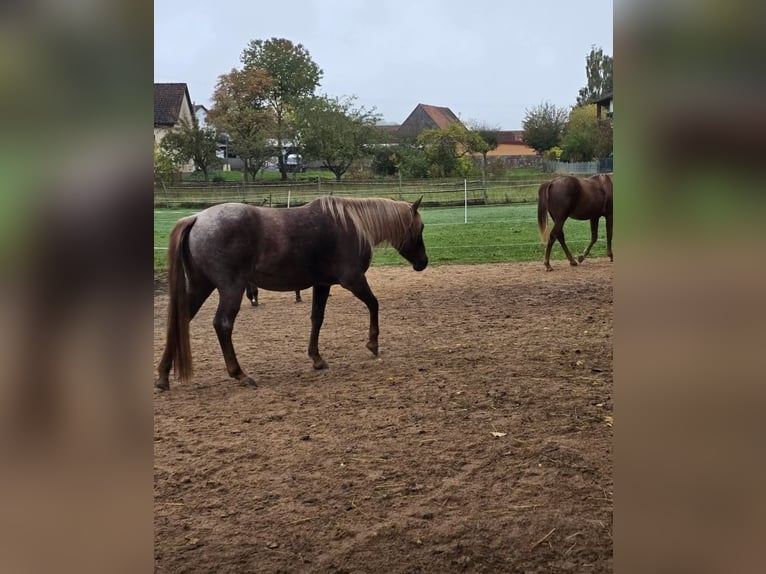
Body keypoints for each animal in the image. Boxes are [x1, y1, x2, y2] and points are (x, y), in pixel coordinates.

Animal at [156, 196, 428, 391]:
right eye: (421, 227)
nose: (423, 263)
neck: (353, 225)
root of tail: (197, 219)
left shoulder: (322, 284)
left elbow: (317, 319)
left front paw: (316, 358)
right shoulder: (353, 280)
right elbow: (374, 304)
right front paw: (372, 343)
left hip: (200, 286)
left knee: (180, 320)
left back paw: (162, 376)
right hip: (230, 288)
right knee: (222, 324)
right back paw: (240, 374)